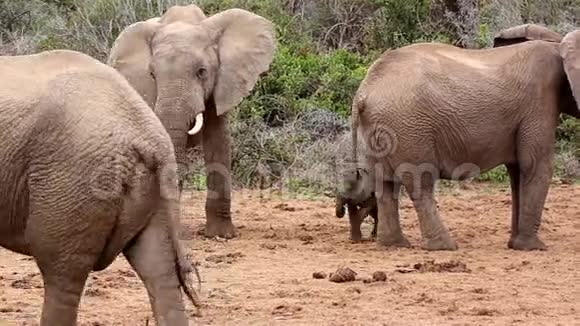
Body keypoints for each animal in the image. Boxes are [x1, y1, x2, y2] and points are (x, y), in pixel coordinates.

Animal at [348, 24, 580, 251]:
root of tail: (363, 92)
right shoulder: (538, 104)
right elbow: (536, 165)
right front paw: (533, 247)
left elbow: (517, 171)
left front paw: (515, 245)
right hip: (408, 126)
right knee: (420, 182)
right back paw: (445, 246)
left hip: (383, 127)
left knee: (384, 184)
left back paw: (395, 245)